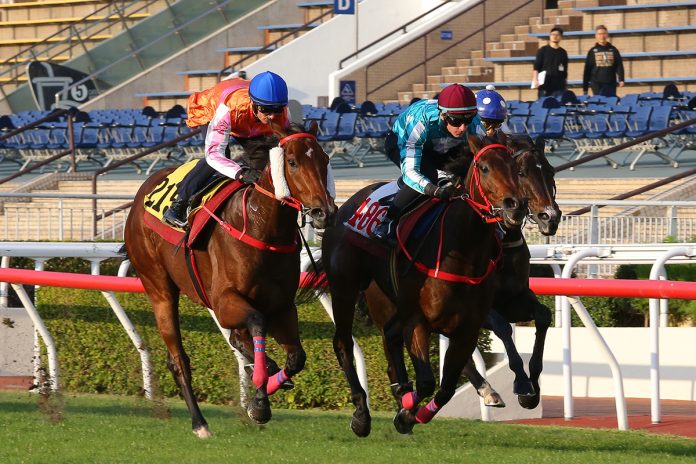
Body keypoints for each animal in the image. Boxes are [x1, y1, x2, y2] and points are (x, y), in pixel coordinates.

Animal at [124, 122, 338, 436]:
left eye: (324, 159)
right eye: (292, 162)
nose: (325, 212)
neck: (263, 228)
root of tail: (141, 194)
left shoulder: (283, 306)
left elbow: (296, 357)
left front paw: (264, 391)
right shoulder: (225, 301)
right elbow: (258, 324)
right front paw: (260, 397)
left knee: (235, 340)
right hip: (159, 288)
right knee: (179, 359)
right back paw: (199, 423)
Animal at [312, 133, 524, 436]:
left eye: (516, 168)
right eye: (484, 168)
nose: (515, 205)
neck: (463, 254)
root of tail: (345, 207)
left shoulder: (467, 328)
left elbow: (446, 387)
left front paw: (412, 413)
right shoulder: (417, 320)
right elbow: (426, 381)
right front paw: (405, 412)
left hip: (386, 298)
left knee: (389, 338)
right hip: (345, 287)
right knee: (343, 342)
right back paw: (362, 413)